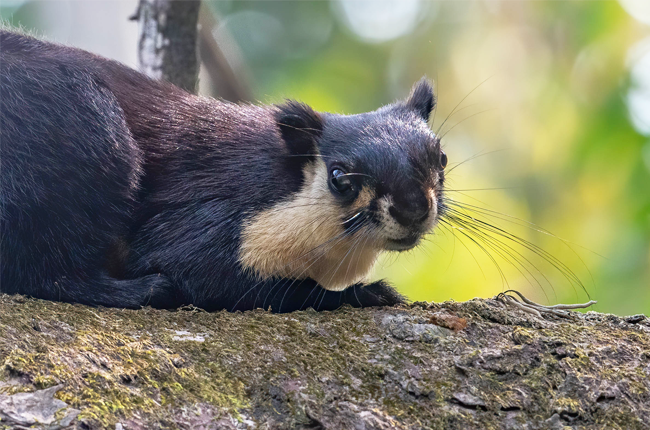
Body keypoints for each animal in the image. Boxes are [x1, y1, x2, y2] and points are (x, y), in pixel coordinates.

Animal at [0, 30, 446, 312]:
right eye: (339, 177)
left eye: (440, 158)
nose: (412, 209)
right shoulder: (210, 214)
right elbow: (215, 278)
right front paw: (367, 293)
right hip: (76, 135)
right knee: (44, 272)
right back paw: (143, 291)